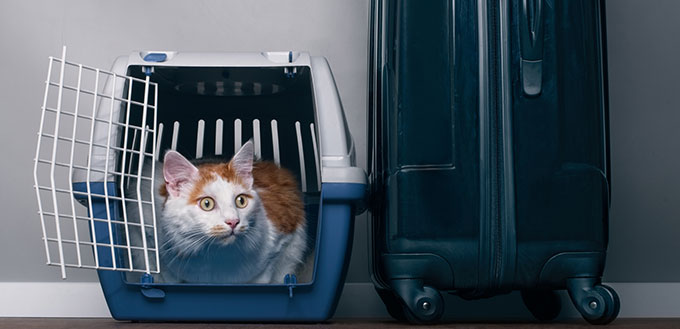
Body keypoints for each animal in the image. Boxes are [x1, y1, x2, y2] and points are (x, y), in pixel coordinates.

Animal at [125, 140, 308, 284]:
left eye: (241, 201)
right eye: (207, 204)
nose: (233, 221)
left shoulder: (283, 234)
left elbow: (265, 275)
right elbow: (166, 275)